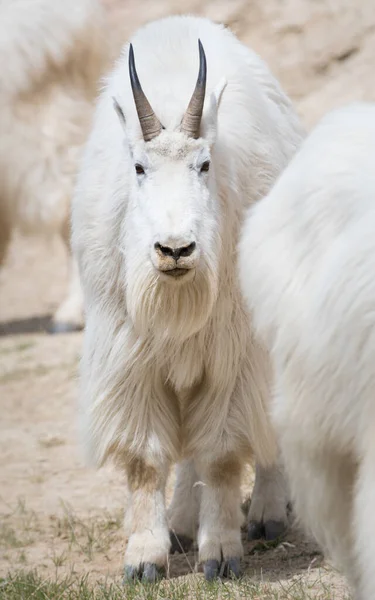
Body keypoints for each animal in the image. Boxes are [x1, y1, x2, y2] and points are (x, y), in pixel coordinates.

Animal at [71, 15, 306, 580]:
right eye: (138, 167)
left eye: (204, 164)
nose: (176, 250)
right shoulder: (131, 357)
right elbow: (145, 459)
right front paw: (145, 557)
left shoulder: (233, 354)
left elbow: (221, 453)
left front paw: (220, 553)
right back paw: (180, 524)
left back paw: (266, 513)